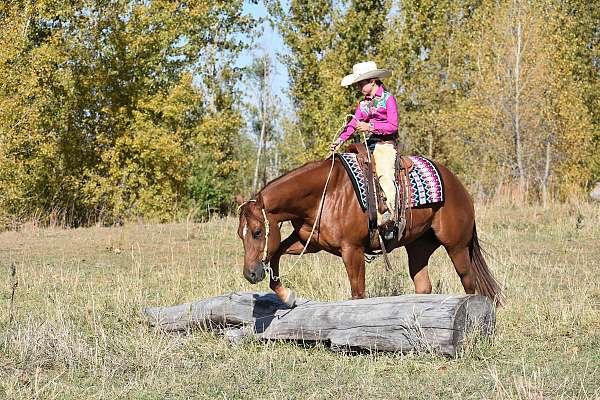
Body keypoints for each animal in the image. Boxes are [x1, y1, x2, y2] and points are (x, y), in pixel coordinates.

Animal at [234, 155, 502, 308]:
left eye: (257, 232)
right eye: (240, 234)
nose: (250, 274)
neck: (325, 194)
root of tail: (460, 187)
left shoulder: (352, 250)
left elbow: (358, 293)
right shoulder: (308, 243)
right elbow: (276, 254)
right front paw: (287, 296)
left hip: (456, 245)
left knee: (468, 281)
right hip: (419, 247)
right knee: (423, 286)